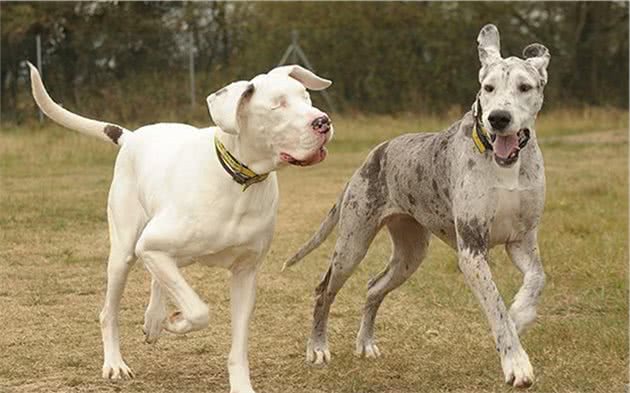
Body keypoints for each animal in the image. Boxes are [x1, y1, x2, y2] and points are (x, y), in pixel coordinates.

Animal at [28, 62, 336, 392]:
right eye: (278, 105)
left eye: (306, 97)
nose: (323, 121)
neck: (238, 182)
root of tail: (132, 137)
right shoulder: (152, 246)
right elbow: (200, 311)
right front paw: (175, 322)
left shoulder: (245, 273)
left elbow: (237, 346)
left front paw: (240, 385)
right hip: (125, 252)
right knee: (109, 310)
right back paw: (115, 362)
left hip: (174, 253)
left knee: (160, 278)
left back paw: (153, 319)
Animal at [284, 25, 552, 388]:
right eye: (488, 88)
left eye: (525, 87)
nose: (498, 118)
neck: (506, 164)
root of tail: (373, 155)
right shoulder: (472, 250)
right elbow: (496, 307)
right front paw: (517, 362)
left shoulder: (522, 242)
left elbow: (537, 279)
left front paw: (521, 313)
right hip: (351, 246)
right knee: (323, 290)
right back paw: (318, 348)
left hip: (410, 255)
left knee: (374, 287)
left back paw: (365, 343)